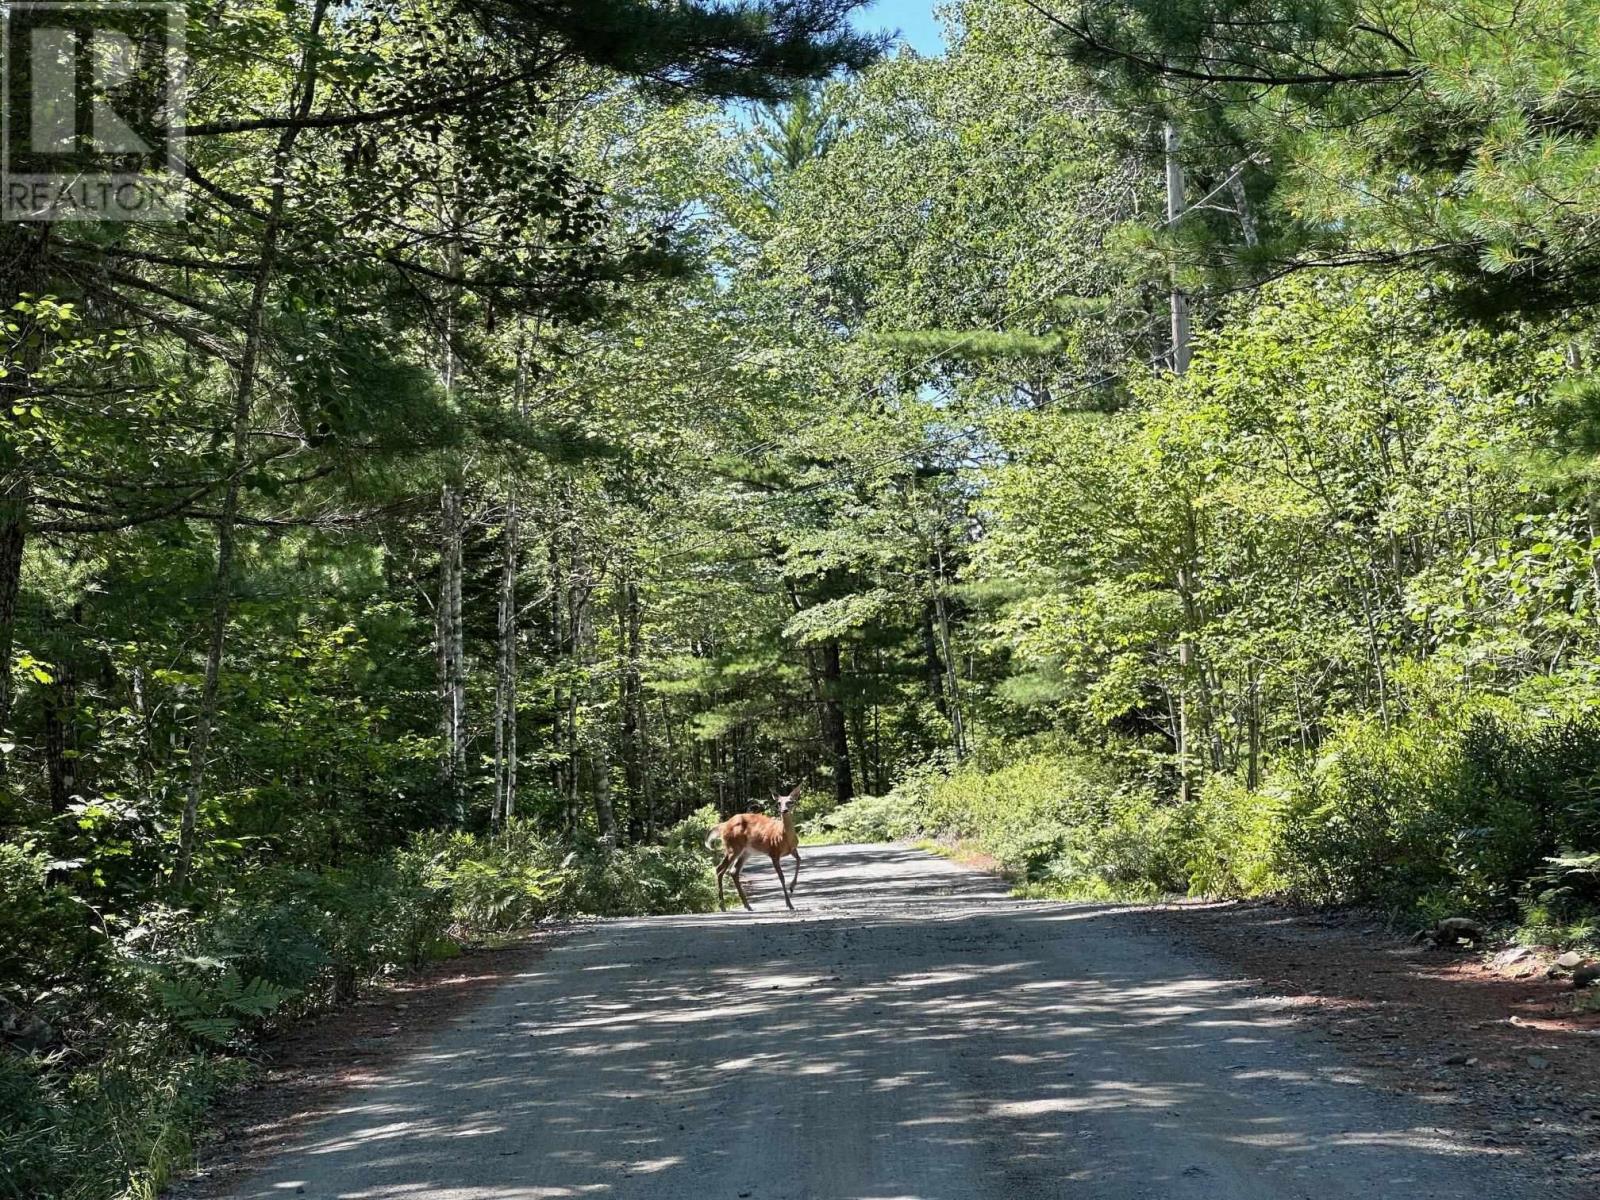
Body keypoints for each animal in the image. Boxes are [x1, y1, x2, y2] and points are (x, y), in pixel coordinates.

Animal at [704, 780, 800, 908]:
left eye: (790, 802)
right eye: (779, 803)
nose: (784, 810)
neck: (785, 837)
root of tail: (724, 824)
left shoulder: (793, 849)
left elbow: (799, 860)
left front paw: (792, 887)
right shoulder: (773, 852)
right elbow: (781, 877)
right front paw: (789, 904)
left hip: (746, 851)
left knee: (733, 871)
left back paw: (747, 905)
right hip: (733, 847)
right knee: (720, 869)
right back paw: (722, 906)